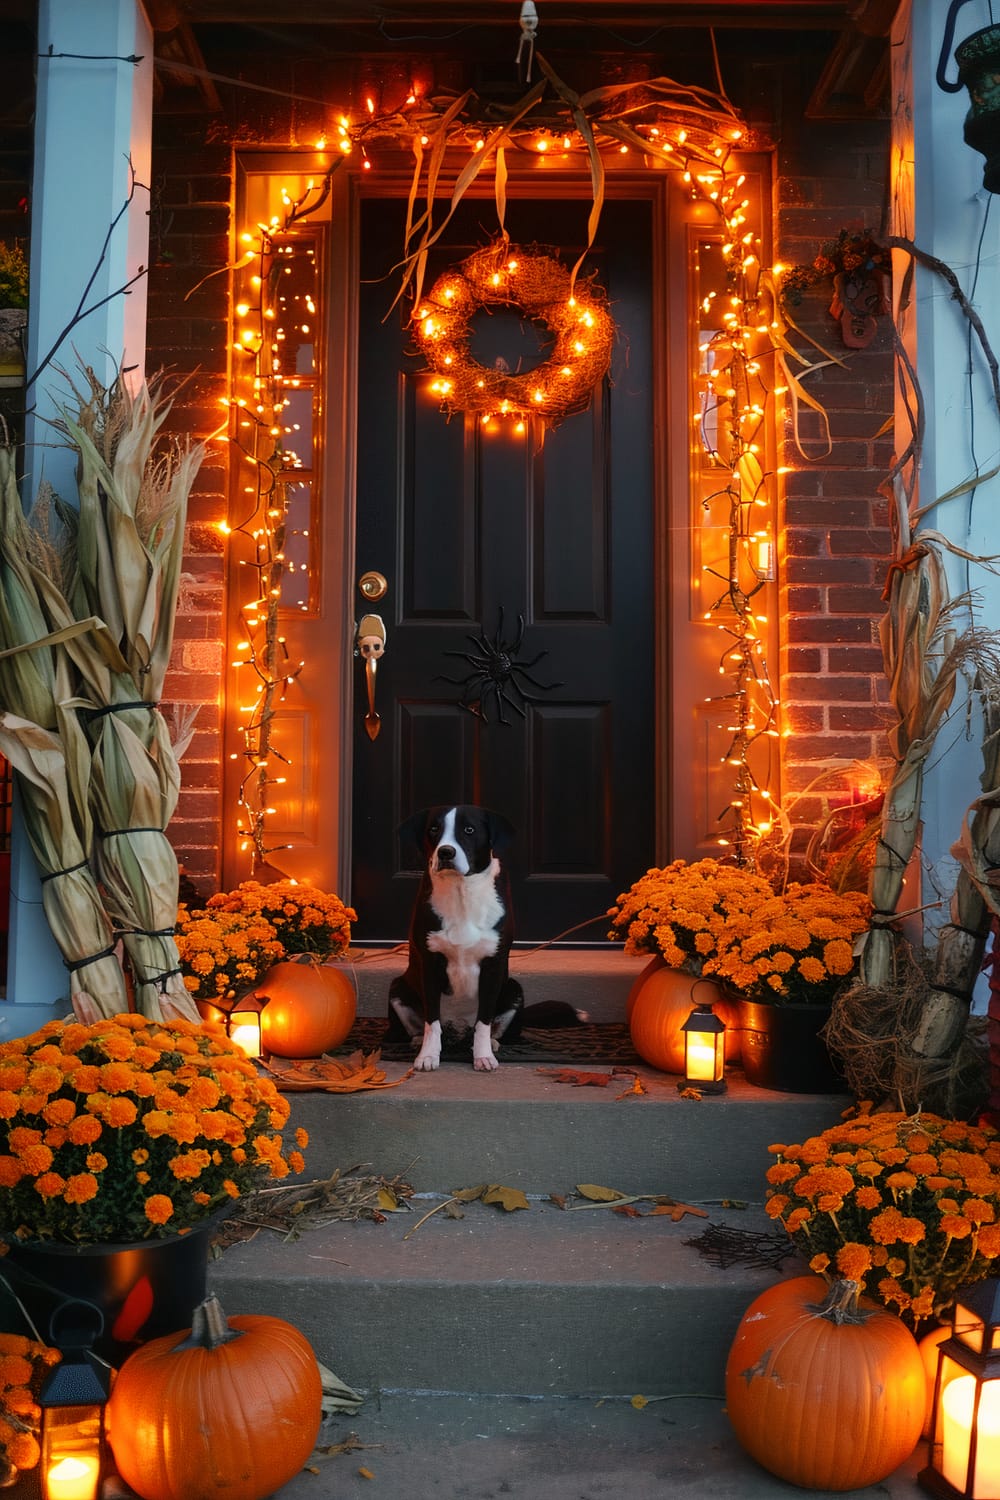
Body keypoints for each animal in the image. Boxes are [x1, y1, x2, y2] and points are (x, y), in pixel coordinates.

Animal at [386, 804, 524, 1074]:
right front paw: (428, 1055)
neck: (461, 892)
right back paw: (418, 1040)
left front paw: (483, 1056)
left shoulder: (493, 964)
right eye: (434, 829)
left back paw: (492, 1042)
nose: (446, 852)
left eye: (469, 830)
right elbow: (431, 1020)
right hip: (397, 987)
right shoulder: (429, 963)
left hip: (514, 988)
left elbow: (484, 1020)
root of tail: (458, 1031)